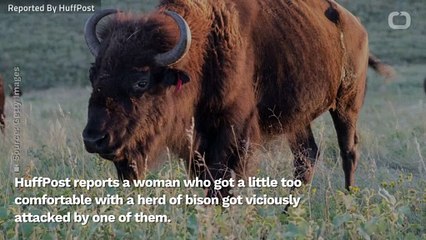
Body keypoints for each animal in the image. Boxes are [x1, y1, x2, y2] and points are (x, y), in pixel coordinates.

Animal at [84, 0, 396, 196]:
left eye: (141, 81)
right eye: (93, 74)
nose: (94, 139)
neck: (204, 50)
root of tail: (357, 27)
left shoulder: (233, 132)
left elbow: (223, 180)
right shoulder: (201, 139)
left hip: (346, 106)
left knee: (348, 151)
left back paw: (349, 197)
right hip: (298, 119)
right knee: (306, 156)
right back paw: (288, 211)